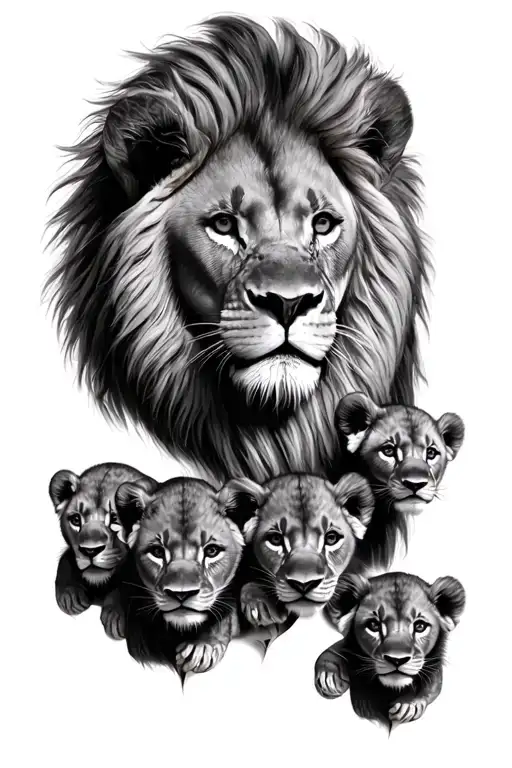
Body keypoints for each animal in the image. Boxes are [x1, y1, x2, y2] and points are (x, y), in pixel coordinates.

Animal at [49, 462, 156, 639]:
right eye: (76, 519)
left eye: (116, 520)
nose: (90, 551)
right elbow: (66, 559)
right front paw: (70, 595)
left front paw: (115, 617)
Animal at [314, 572, 465, 729]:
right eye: (374, 625)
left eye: (420, 626)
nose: (397, 660)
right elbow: (331, 651)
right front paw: (329, 678)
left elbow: (432, 686)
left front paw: (407, 706)